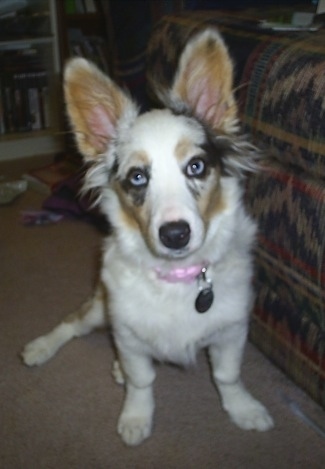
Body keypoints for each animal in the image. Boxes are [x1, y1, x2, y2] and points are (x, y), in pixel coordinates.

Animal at [21, 27, 272, 444]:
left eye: (196, 166)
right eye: (138, 177)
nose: (175, 234)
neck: (177, 278)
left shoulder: (233, 330)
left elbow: (227, 375)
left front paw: (243, 409)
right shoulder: (127, 334)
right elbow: (142, 381)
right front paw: (136, 417)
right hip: (100, 308)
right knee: (71, 323)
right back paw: (40, 348)